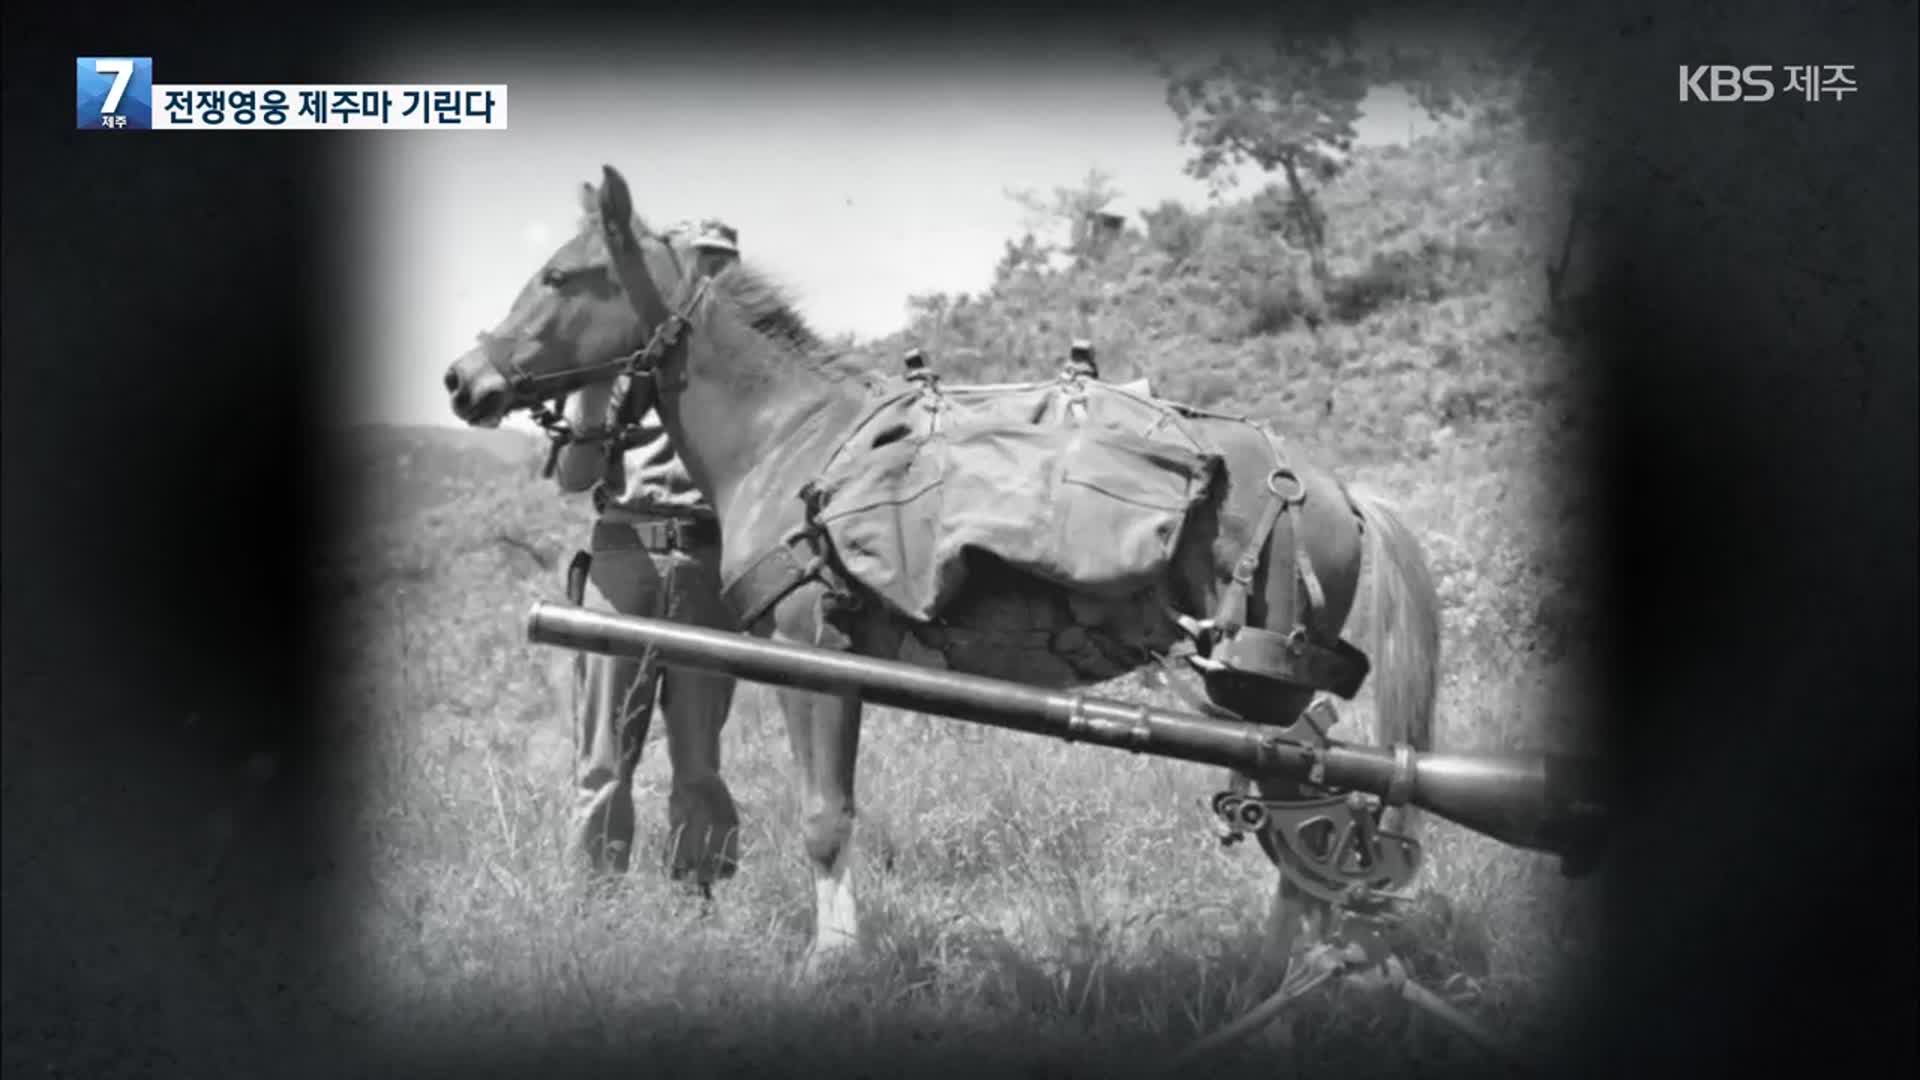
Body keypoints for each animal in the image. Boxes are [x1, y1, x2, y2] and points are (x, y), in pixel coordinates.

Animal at [445, 166, 1443, 976]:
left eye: (562, 276)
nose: (462, 379)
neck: (787, 435)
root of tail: (1334, 488)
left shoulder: (815, 664)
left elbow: (823, 818)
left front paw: (833, 965)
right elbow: (830, 812)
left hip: (1258, 697)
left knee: (1305, 839)